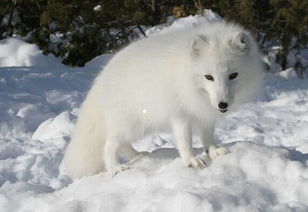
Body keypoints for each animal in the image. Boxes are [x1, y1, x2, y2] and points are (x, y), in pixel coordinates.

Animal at [61, 21, 264, 179]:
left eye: (233, 75)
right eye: (209, 77)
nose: (223, 104)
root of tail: (103, 75)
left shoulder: (205, 113)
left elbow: (208, 137)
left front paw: (214, 151)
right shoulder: (180, 115)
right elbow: (185, 142)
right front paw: (191, 160)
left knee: (123, 144)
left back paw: (138, 155)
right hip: (129, 124)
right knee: (108, 145)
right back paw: (116, 168)